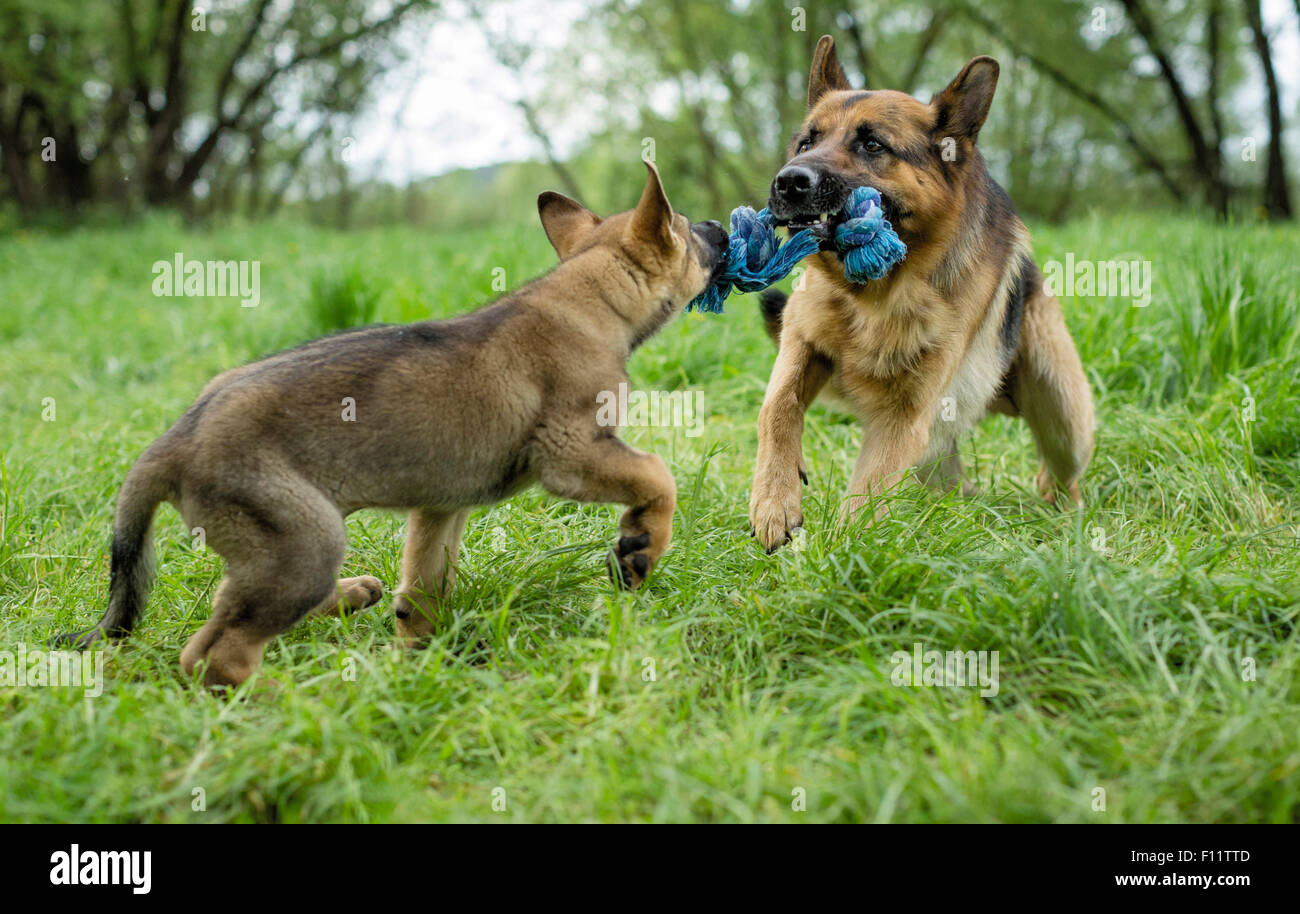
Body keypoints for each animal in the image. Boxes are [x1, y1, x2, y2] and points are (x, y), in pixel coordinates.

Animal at [58, 167, 733, 691]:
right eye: (687, 229)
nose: (722, 226)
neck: (592, 295)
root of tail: (170, 443)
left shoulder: (441, 506)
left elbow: (425, 588)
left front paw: (418, 668)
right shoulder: (570, 456)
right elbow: (659, 476)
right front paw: (642, 543)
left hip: (290, 542)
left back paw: (352, 599)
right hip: (305, 539)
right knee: (212, 655)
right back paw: (301, 701)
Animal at [748, 35, 1092, 551]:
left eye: (872, 144)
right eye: (808, 141)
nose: (788, 181)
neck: (875, 294)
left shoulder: (904, 416)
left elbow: (867, 495)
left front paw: (842, 556)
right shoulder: (802, 340)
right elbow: (777, 408)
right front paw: (774, 500)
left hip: (1063, 416)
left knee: (1061, 472)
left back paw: (1066, 519)